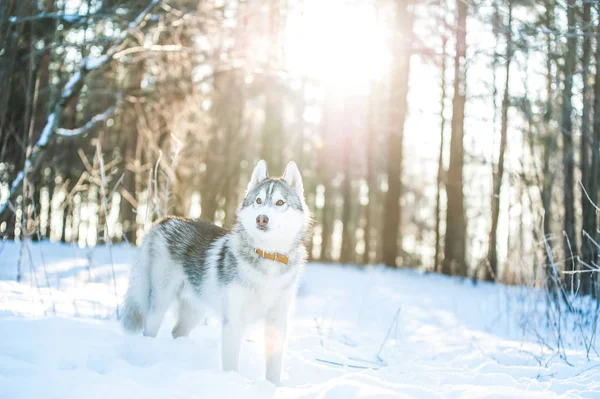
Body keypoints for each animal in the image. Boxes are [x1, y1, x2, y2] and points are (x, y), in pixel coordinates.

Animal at [120, 161, 312, 386]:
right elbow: (231, 364)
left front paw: (273, 386)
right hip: (159, 305)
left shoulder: (277, 321)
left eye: (280, 202)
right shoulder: (234, 321)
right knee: (149, 331)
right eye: (258, 200)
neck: (267, 257)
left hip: (195, 311)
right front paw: (231, 383)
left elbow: (273, 367)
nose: (262, 219)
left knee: (176, 332)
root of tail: (165, 221)